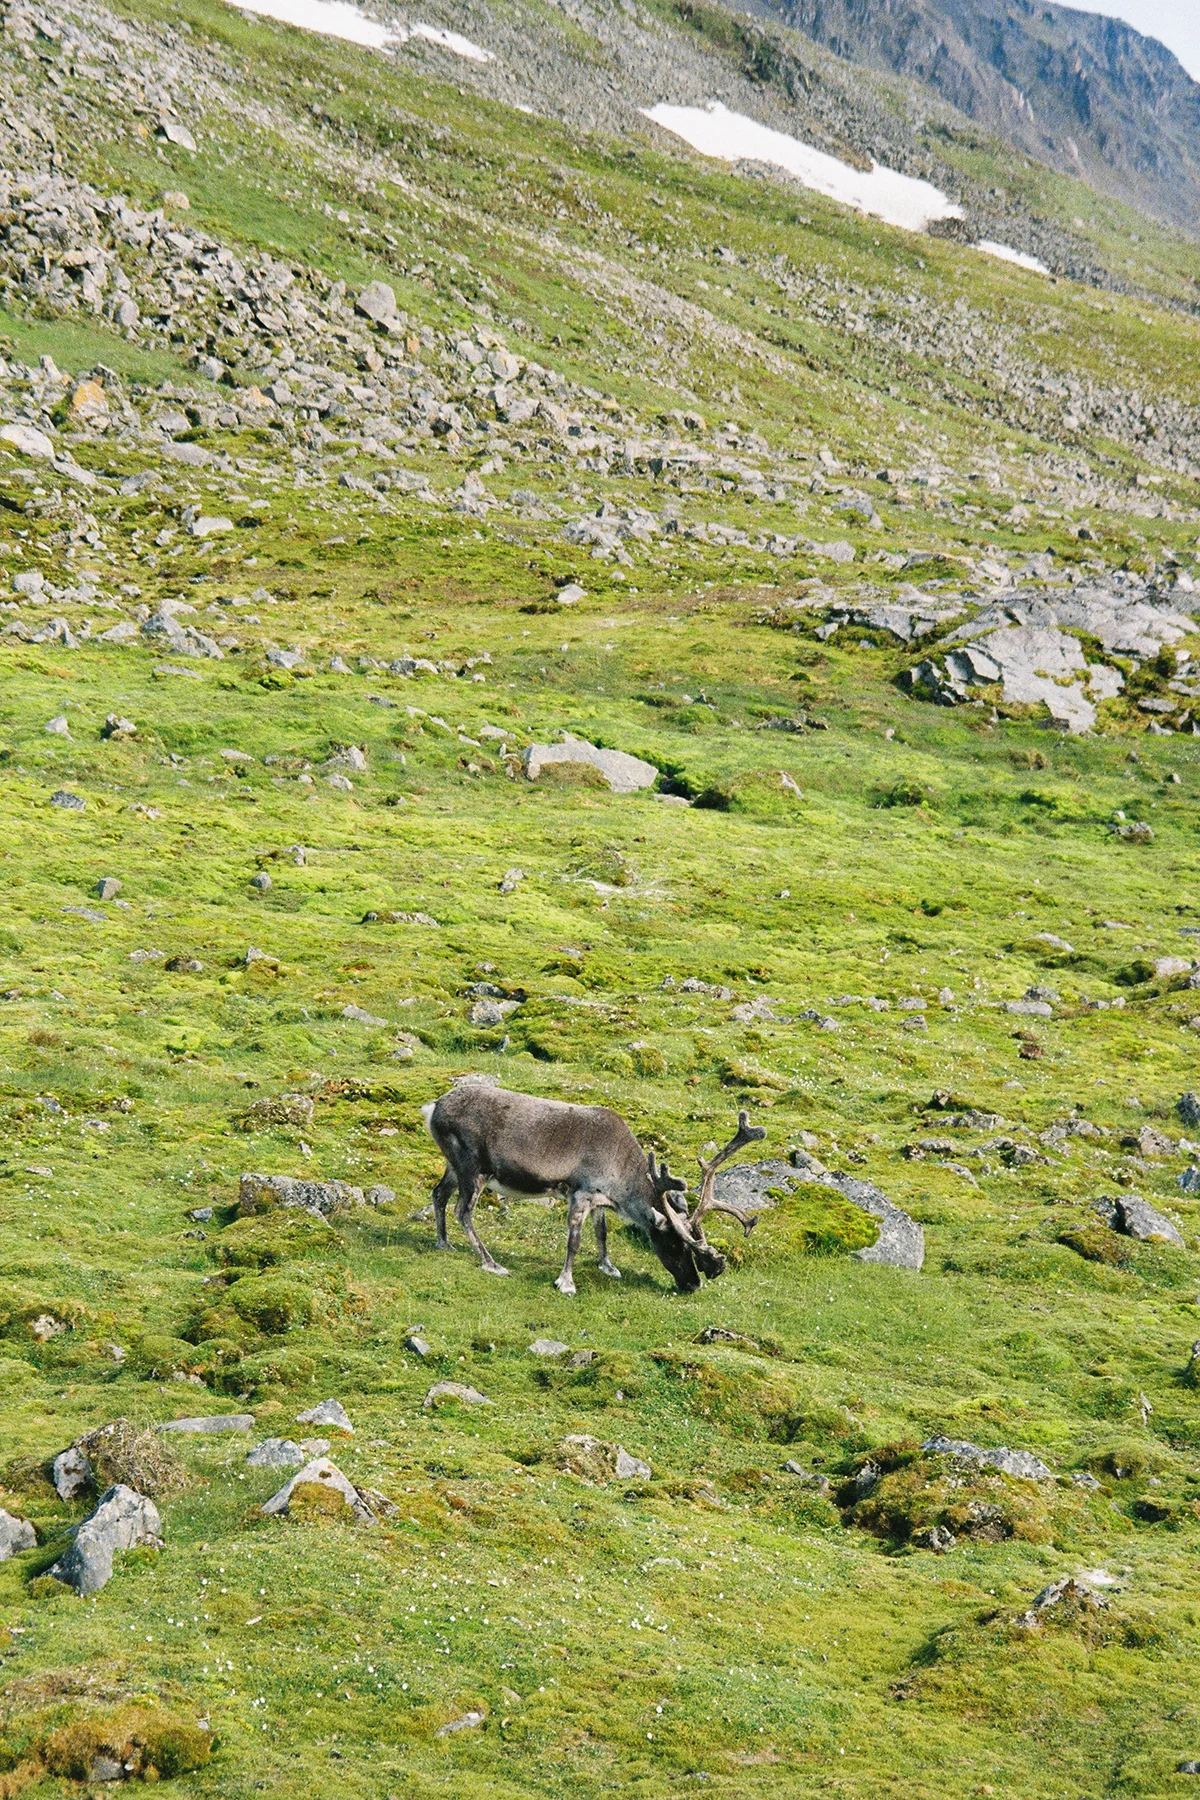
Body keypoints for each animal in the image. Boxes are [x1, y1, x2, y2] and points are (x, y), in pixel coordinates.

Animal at [421, 1081, 765, 1295]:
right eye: (674, 1245)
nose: (693, 1284)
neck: (622, 1177)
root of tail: (433, 1108)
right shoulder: (581, 1193)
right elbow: (573, 1242)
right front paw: (566, 1283)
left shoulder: (600, 1200)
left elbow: (602, 1233)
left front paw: (608, 1266)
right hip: (472, 1168)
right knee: (462, 1210)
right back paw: (491, 1263)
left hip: (452, 1165)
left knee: (439, 1194)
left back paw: (444, 1243)